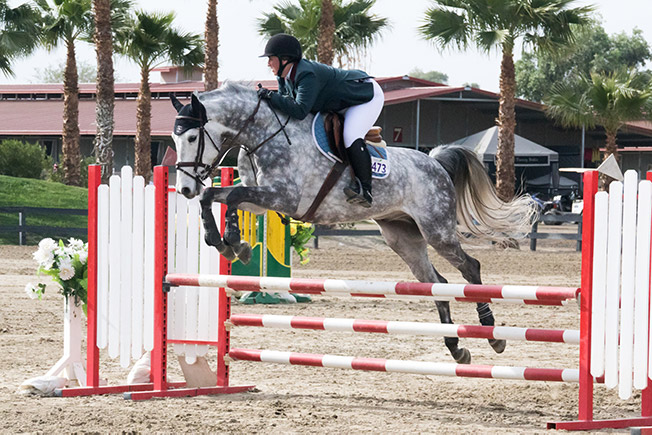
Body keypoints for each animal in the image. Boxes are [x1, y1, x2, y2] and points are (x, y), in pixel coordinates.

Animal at [171, 82, 536, 364]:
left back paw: (493, 335)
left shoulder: (282, 197)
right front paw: (224, 242)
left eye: (191, 138)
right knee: (438, 282)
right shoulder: (260, 202)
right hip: (402, 238)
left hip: (437, 230)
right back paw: (456, 347)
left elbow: (230, 196)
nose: (185, 188)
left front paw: (235, 242)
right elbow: (216, 196)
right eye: (174, 139)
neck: (266, 135)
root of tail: (434, 162)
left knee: (470, 268)